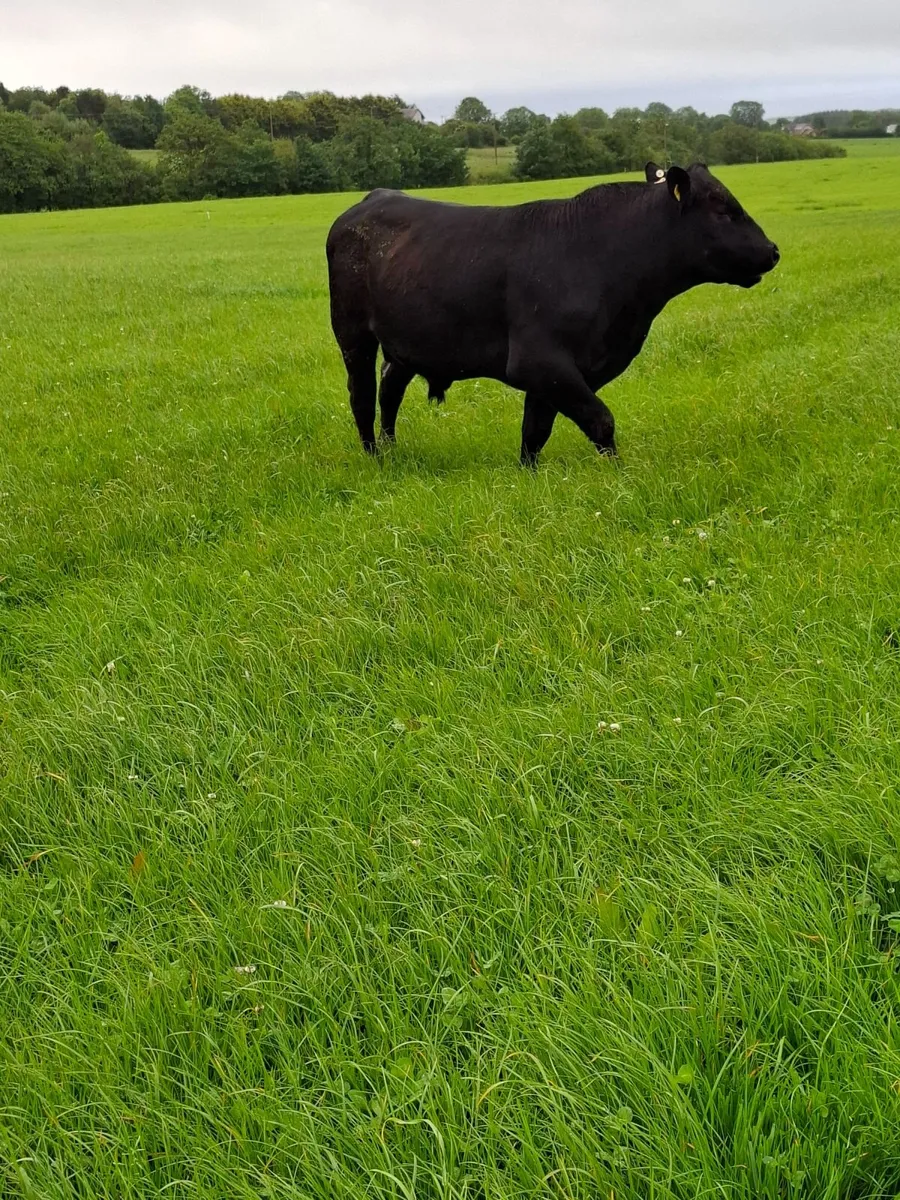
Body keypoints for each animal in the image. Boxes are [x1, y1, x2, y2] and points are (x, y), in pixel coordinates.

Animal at [326, 162, 779, 465]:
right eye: (723, 209)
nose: (773, 250)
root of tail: (375, 197)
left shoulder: (557, 372)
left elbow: (535, 431)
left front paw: (528, 476)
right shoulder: (539, 361)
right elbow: (600, 420)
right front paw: (619, 475)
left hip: (406, 343)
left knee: (390, 390)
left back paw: (391, 449)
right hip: (353, 335)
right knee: (362, 396)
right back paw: (374, 458)